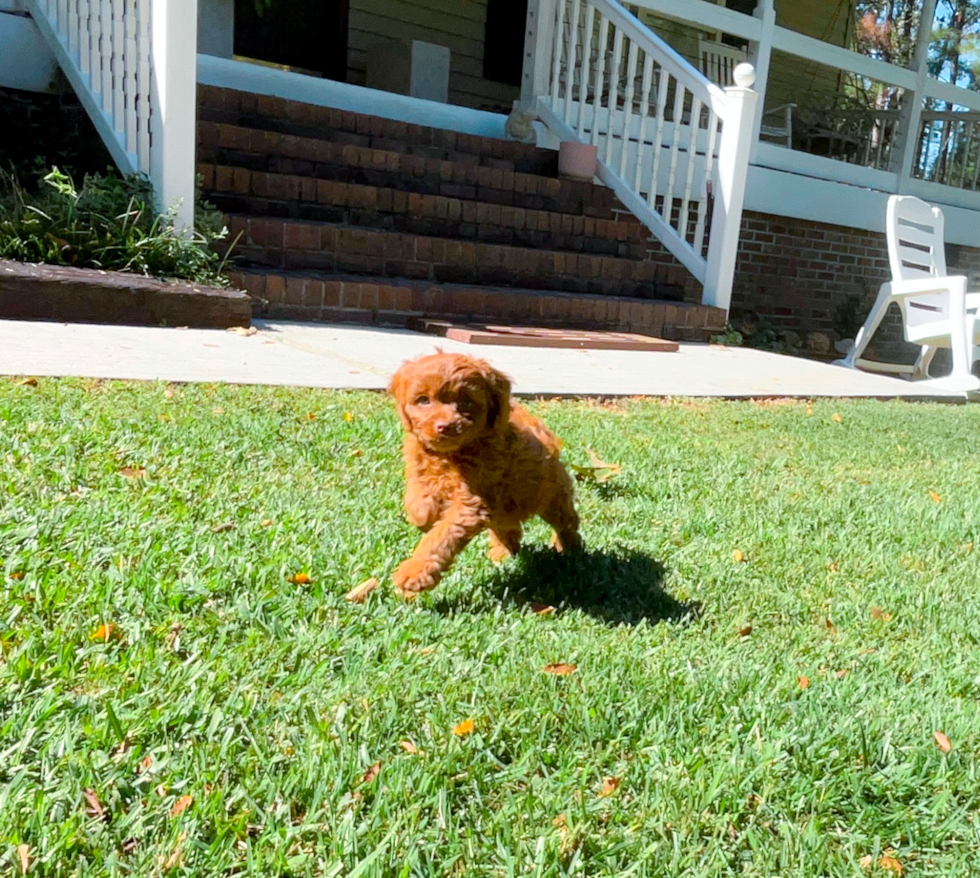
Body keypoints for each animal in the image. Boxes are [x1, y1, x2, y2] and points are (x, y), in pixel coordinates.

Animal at [386, 350, 580, 600]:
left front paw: (414, 573)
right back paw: (503, 553)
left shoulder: (470, 504)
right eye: (423, 400)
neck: (450, 455)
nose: (445, 426)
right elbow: (416, 500)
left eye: (467, 401)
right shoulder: (418, 468)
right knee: (507, 527)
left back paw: (569, 549)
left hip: (551, 495)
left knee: (566, 521)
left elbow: (440, 537)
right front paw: (424, 517)